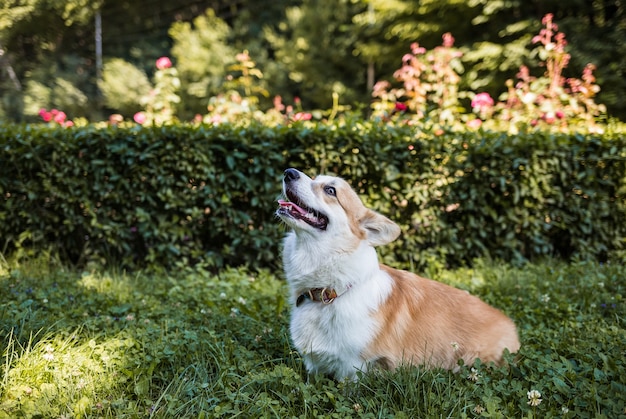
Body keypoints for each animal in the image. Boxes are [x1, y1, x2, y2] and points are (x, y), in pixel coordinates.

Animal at [276, 167, 520, 380]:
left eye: (330, 190)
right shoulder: (314, 365)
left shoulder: (353, 367)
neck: (331, 290)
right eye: (314, 178)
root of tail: (512, 328)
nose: (289, 172)